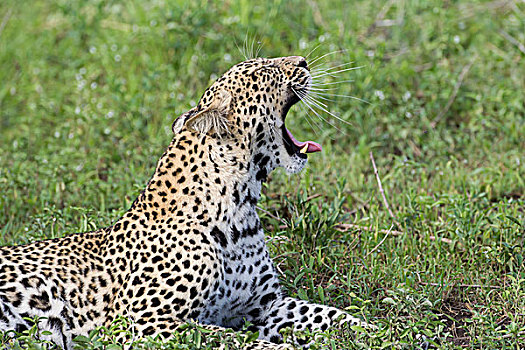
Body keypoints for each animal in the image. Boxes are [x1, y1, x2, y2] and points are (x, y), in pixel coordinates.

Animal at [0, 56, 372, 348]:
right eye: (264, 71)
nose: (303, 61)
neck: (239, 210)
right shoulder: (144, 322)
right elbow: (230, 340)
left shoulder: (264, 305)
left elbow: (326, 313)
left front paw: (369, 331)